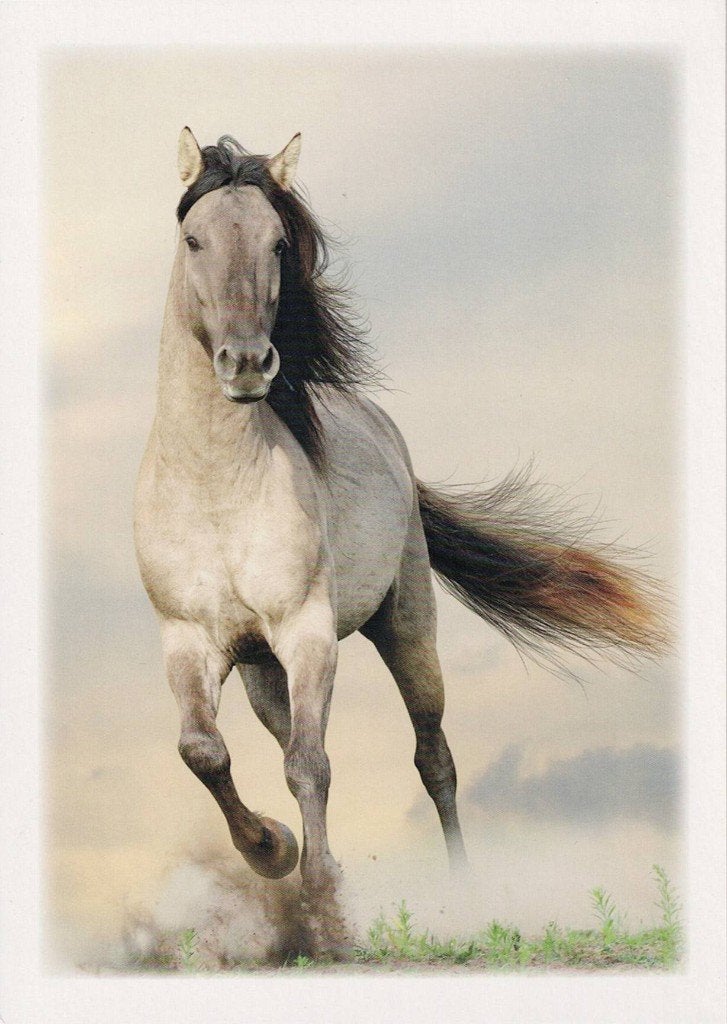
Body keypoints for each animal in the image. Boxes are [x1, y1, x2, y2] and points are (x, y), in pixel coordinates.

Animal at [134, 128, 664, 955]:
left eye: (278, 243)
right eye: (194, 240)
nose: (247, 363)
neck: (215, 485)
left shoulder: (308, 632)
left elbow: (310, 765)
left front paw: (325, 909)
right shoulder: (190, 640)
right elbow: (205, 751)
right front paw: (273, 849)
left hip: (406, 625)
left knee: (431, 757)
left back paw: (462, 896)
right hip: (261, 671)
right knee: (285, 740)